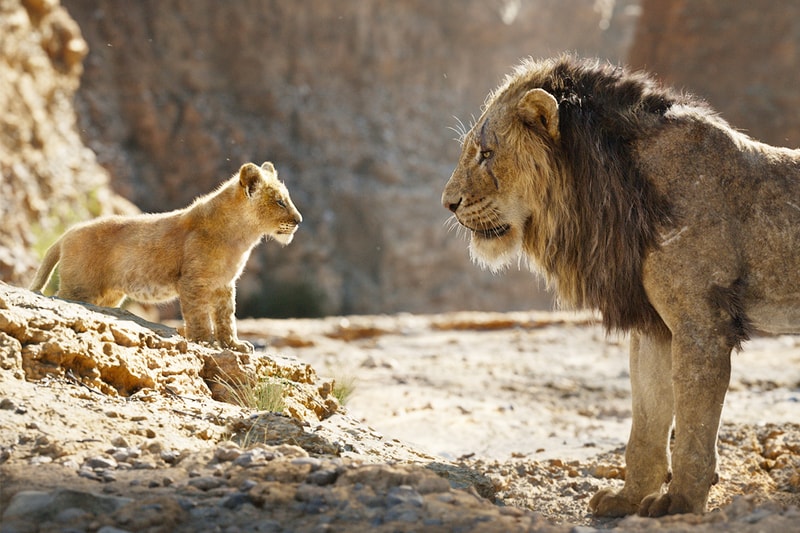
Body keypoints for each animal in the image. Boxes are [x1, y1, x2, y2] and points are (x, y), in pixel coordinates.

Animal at [30, 161, 302, 353]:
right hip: (79, 289)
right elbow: (199, 316)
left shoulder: (224, 284)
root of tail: (66, 234)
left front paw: (234, 345)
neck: (242, 237)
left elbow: (226, 317)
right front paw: (205, 342)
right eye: (280, 201)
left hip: (107, 295)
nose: (299, 221)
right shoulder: (193, 281)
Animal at [442, 55, 800, 517]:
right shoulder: (654, 327)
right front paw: (628, 497)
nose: (448, 203)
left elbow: (693, 428)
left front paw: (681, 502)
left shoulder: (702, 326)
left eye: (487, 154)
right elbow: (645, 420)